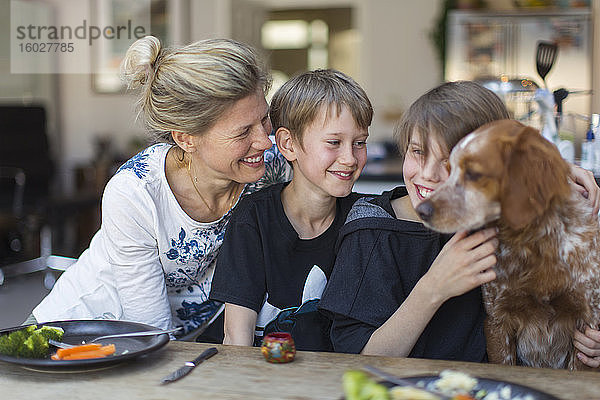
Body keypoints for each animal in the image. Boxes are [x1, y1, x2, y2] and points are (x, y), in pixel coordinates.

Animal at [418, 119, 600, 372]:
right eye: (449, 170)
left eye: (474, 174)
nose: (422, 210)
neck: (533, 243)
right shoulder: (498, 319)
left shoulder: (586, 322)